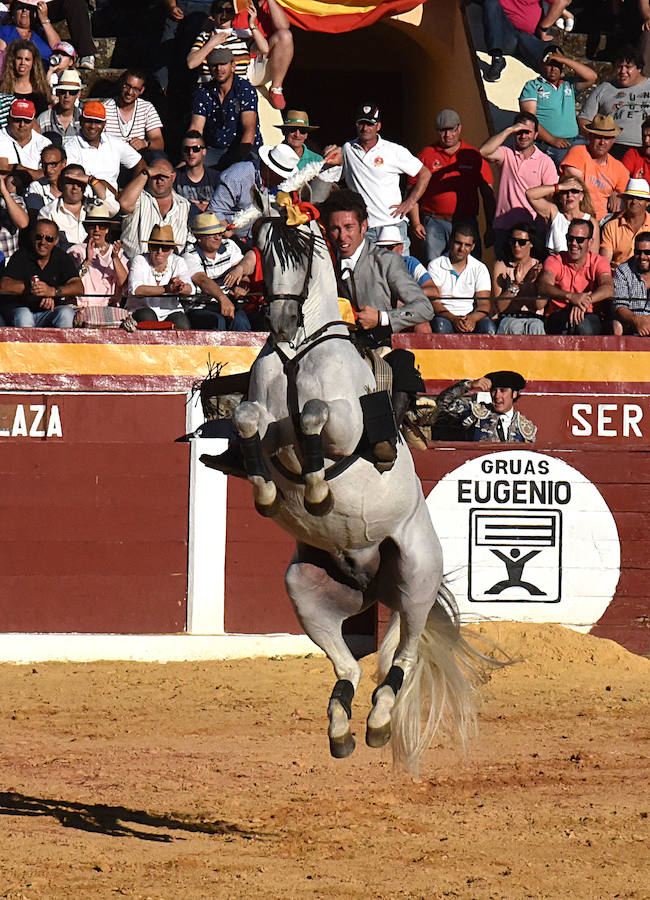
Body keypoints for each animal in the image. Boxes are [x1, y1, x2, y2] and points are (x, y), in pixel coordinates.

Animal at [205, 211, 494, 772]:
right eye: (262, 250)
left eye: (302, 250)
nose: (280, 322)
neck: (299, 351)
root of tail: (372, 581)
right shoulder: (260, 419)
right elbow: (249, 419)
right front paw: (266, 493)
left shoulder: (341, 426)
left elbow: (315, 416)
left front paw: (317, 491)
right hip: (305, 589)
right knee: (350, 671)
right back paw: (341, 729)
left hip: (416, 578)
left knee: (401, 659)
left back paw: (379, 722)